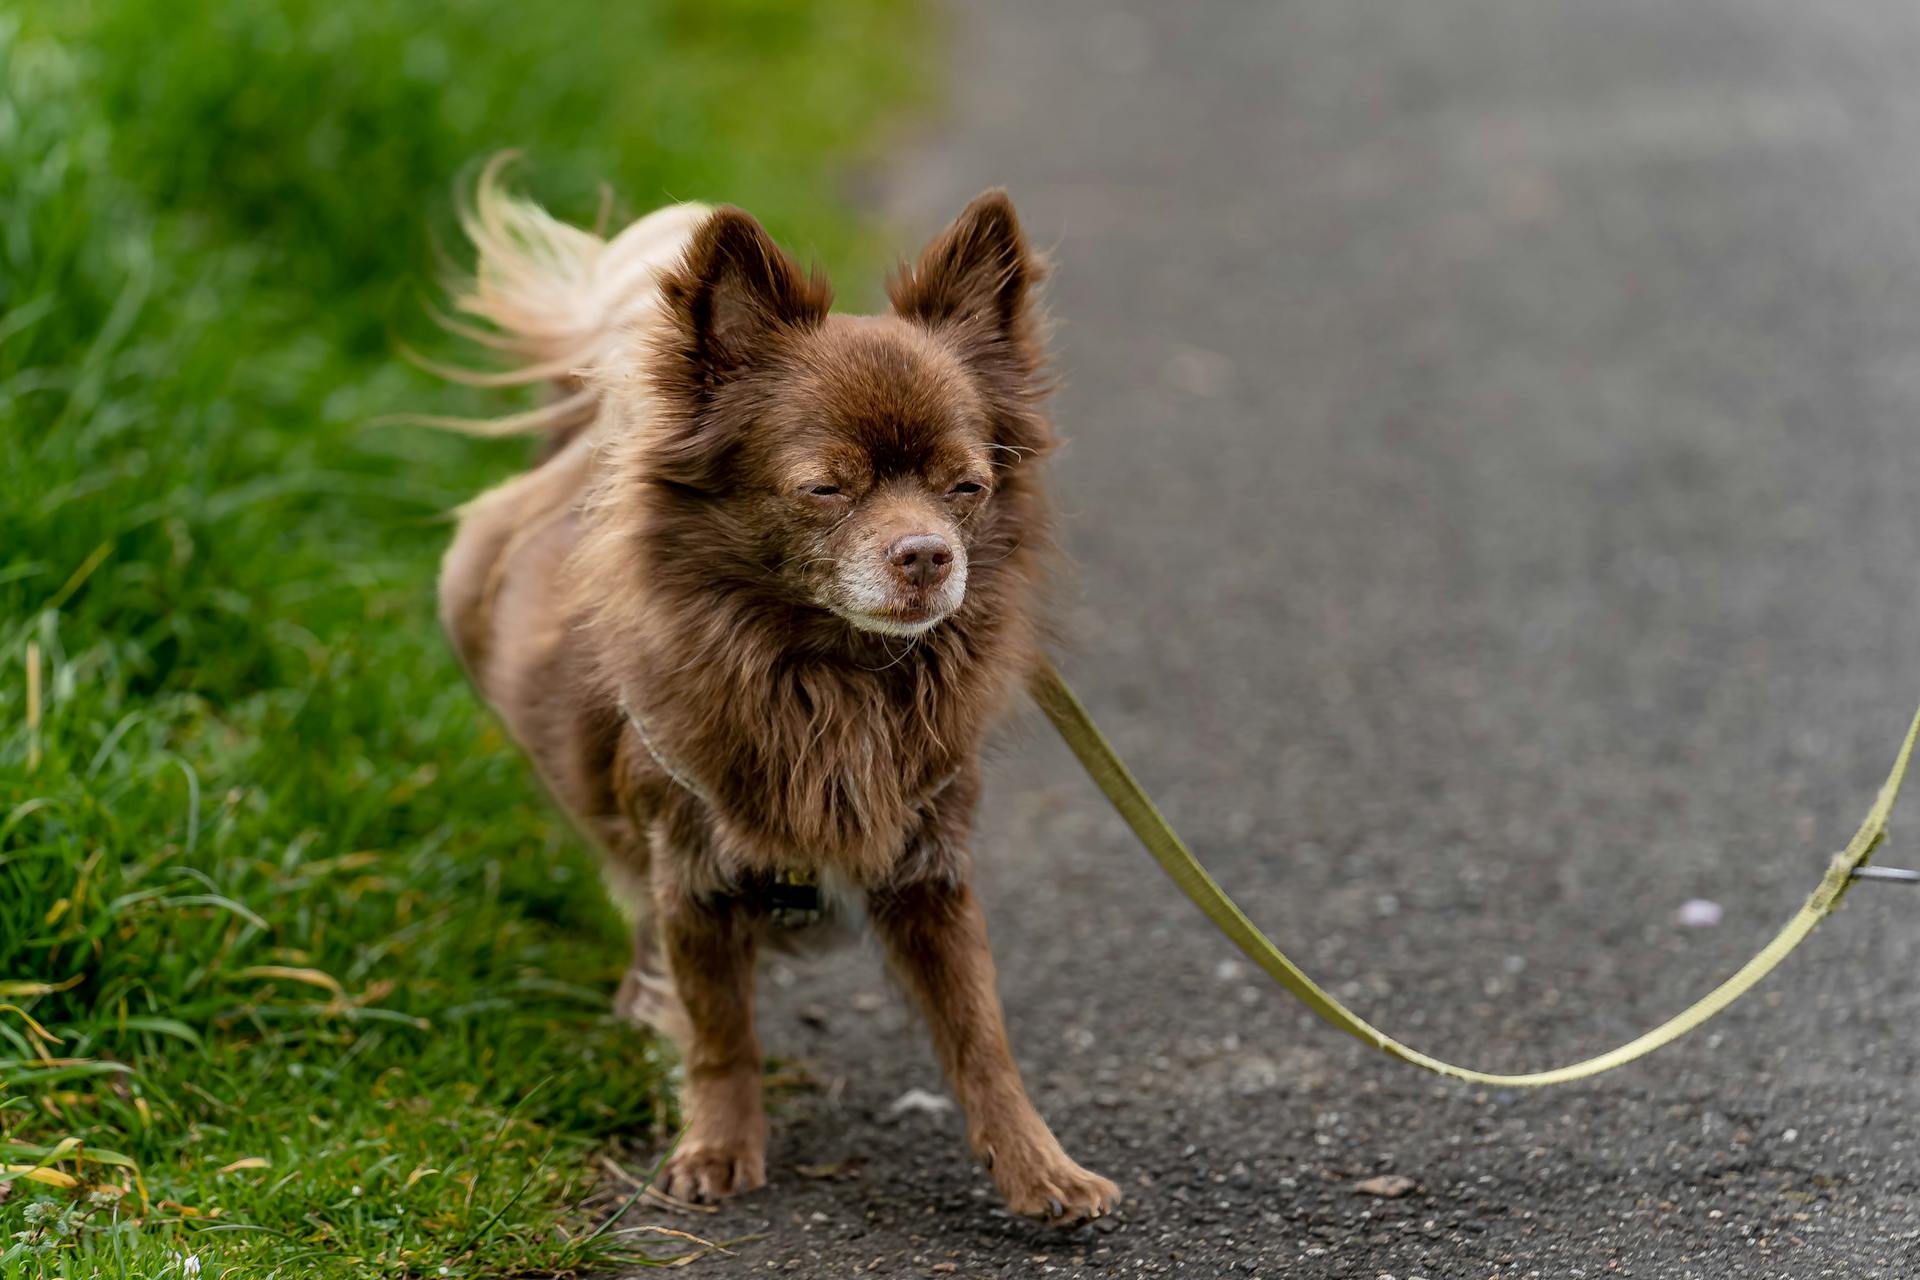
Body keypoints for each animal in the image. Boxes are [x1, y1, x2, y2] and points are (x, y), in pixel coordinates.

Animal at [432, 167, 1121, 1220]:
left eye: (965, 488)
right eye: (825, 490)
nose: (929, 554)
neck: (833, 677)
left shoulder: (930, 875)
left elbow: (981, 1036)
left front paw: (1038, 1165)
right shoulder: (694, 879)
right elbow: (722, 1033)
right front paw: (716, 1147)